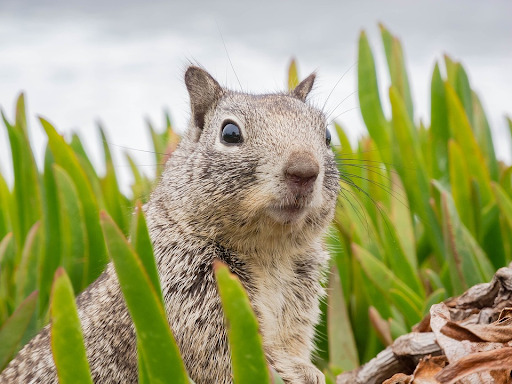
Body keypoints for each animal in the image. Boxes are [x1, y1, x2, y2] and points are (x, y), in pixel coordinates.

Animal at [2, 67, 342, 384]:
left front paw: (308, 369)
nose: (304, 170)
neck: (269, 251)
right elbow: (231, 359)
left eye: (326, 135)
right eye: (230, 133)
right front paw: (294, 372)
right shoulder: (187, 297)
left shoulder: (299, 300)